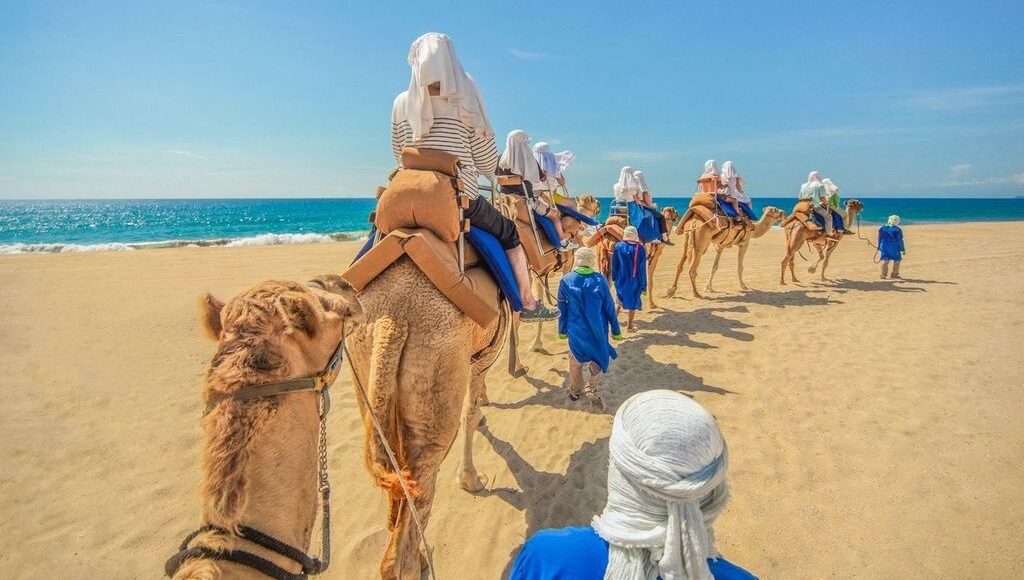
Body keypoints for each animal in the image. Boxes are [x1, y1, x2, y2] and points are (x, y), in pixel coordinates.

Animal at [343, 256, 509, 579]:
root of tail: (393, 321)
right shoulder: (486, 349)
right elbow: (469, 411)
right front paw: (470, 479)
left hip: (364, 363)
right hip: (435, 363)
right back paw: (414, 563)